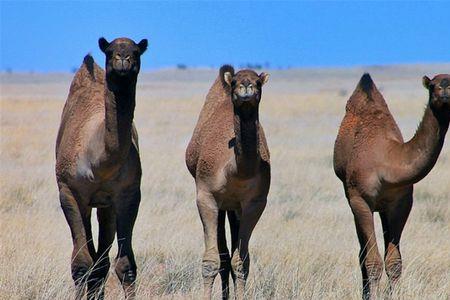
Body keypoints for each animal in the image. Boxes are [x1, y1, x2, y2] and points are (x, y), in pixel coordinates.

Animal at [55, 37, 148, 300]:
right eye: (109, 51)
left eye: (136, 51)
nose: (123, 59)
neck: (99, 162)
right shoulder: (69, 191)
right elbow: (81, 263)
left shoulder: (128, 194)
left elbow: (125, 264)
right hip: (86, 203)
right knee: (90, 258)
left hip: (106, 207)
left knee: (102, 261)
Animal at [186, 65, 270, 300]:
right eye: (234, 82)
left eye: (258, 82)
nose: (246, 87)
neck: (235, 171)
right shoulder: (206, 197)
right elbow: (211, 261)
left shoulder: (255, 203)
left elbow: (241, 262)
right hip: (222, 205)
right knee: (222, 254)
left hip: (235, 207)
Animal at [332, 73, 448, 300]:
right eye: (434, 85)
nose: (446, 93)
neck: (388, 162)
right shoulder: (360, 199)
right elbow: (372, 261)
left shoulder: (402, 202)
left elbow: (394, 262)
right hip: (352, 198)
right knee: (362, 254)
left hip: (384, 209)